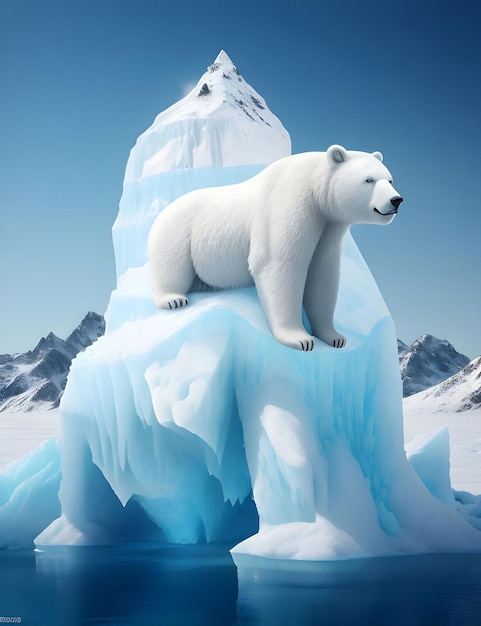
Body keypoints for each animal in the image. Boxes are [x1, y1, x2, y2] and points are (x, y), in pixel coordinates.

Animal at [146, 147, 402, 352]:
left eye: (389, 180)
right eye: (369, 180)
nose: (396, 200)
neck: (315, 186)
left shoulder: (328, 227)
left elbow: (323, 275)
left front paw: (334, 336)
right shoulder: (291, 205)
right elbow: (279, 266)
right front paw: (300, 339)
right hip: (177, 235)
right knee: (171, 267)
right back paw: (173, 299)